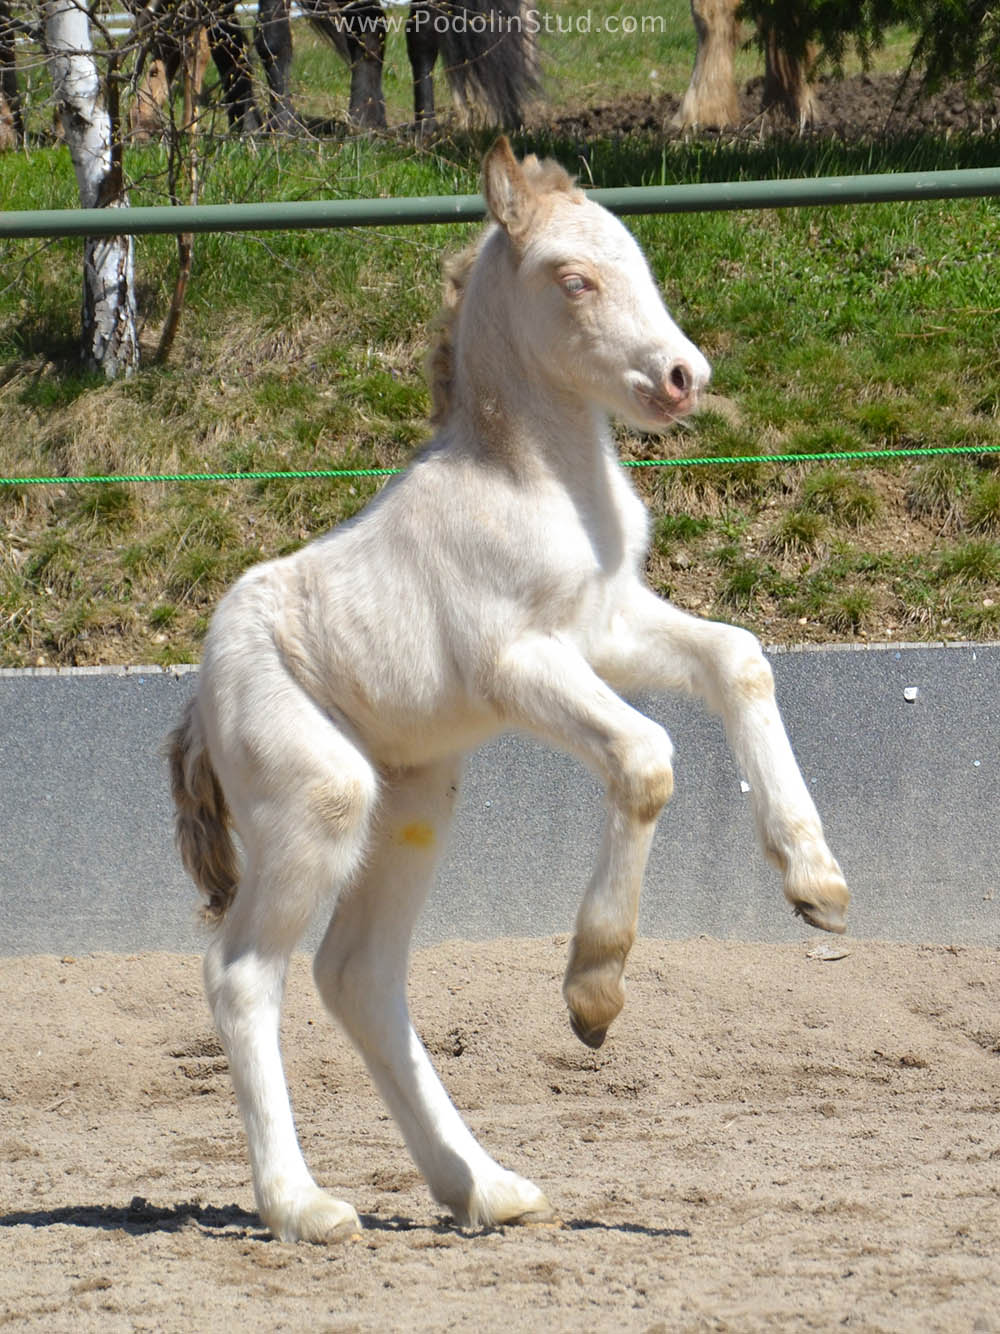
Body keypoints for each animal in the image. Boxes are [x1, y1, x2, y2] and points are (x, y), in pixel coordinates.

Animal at [168, 135, 848, 1237]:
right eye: (574, 279)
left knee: (357, 975)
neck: (538, 480)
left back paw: (483, 1185)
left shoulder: (606, 625)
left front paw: (816, 884)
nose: (682, 376)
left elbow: (738, 656)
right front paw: (593, 993)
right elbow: (646, 756)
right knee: (241, 976)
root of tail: (195, 699)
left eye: (637, 257)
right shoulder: (518, 661)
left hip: (415, 801)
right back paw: (303, 1205)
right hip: (320, 795)